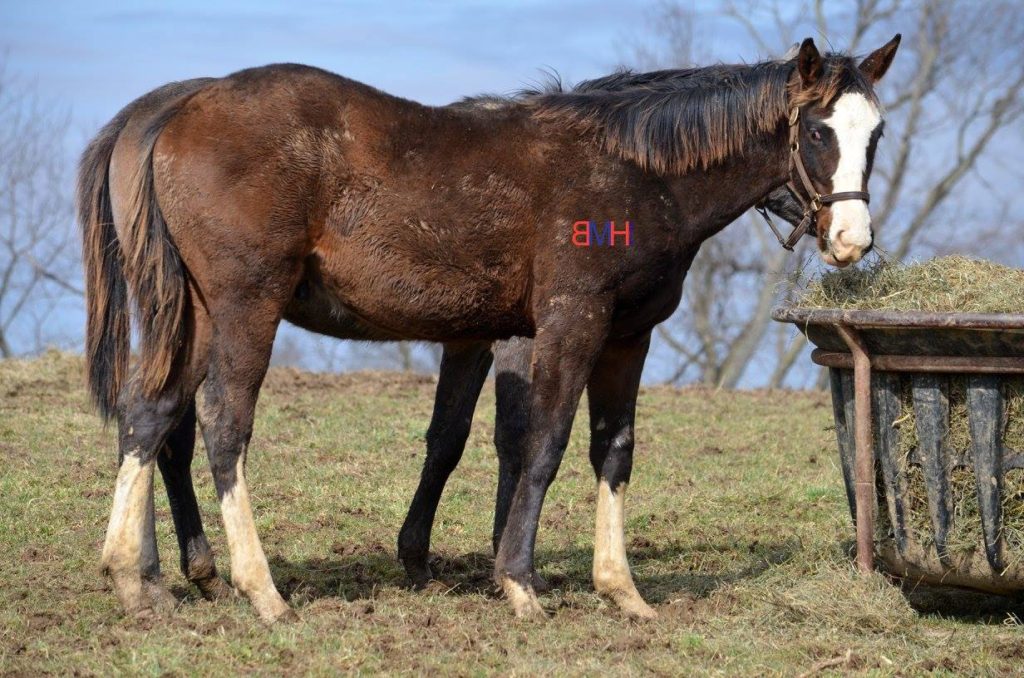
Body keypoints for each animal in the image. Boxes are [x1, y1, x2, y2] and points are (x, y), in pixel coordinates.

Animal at [77, 35, 897, 622]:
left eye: (877, 134)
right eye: (817, 131)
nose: (851, 240)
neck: (636, 172)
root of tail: (178, 110)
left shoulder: (626, 338)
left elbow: (611, 449)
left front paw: (620, 588)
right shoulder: (569, 323)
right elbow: (542, 443)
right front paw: (520, 582)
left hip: (193, 314)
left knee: (151, 417)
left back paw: (135, 577)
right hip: (247, 306)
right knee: (222, 425)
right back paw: (260, 589)